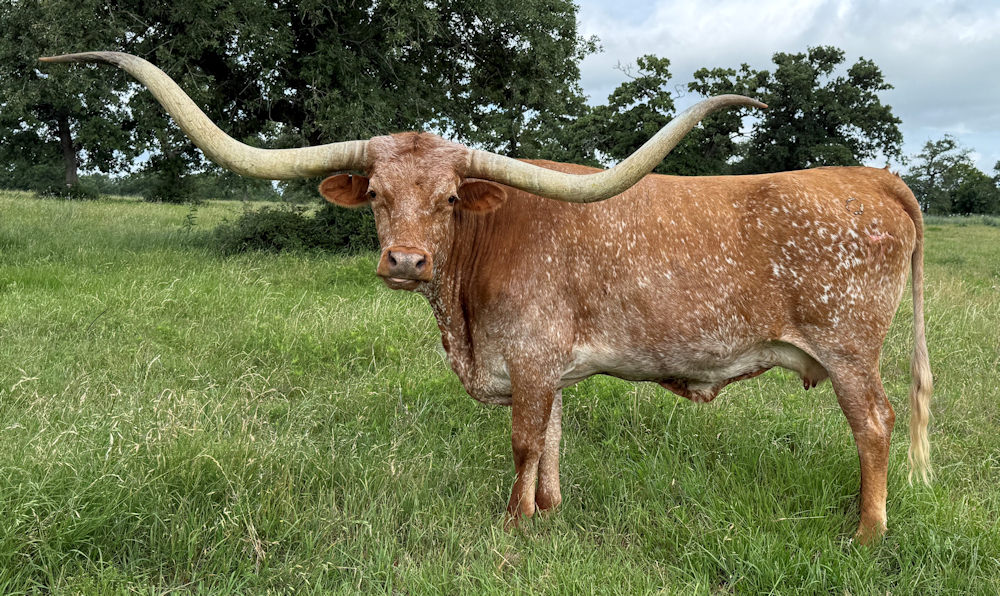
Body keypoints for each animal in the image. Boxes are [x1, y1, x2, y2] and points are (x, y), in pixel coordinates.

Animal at [41, 51, 932, 543]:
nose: (405, 260)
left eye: (446, 199)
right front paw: (552, 513)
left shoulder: (530, 358)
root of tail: (875, 178)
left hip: (849, 349)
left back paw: (866, 533)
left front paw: (514, 524)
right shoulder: (551, 365)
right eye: (376, 196)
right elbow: (556, 442)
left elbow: (524, 443)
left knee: (877, 425)